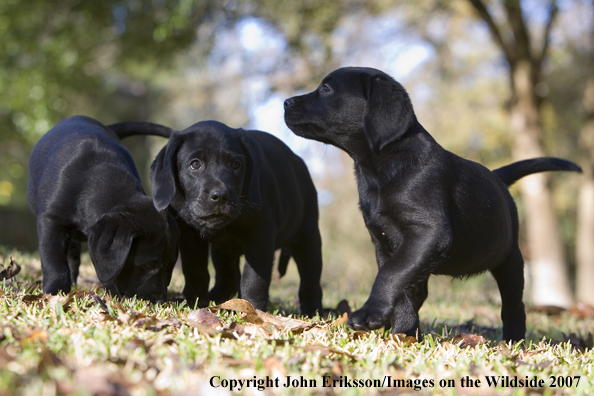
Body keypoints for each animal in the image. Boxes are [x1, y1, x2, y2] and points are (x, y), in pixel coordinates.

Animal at [26, 115, 178, 304]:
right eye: (150, 265)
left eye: (171, 266)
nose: (160, 301)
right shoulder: (51, 222)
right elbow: (55, 263)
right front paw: (54, 292)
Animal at [150, 120, 322, 316]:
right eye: (195, 164)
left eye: (235, 164)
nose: (220, 196)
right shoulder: (189, 234)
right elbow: (195, 270)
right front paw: (195, 301)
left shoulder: (262, 236)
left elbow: (253, 279)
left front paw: (253, 308)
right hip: (223, 248)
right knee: (228, 278)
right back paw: (218, 300)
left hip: (307, 237)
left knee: (311, 280)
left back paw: (313, 310)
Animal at [282, 66, 580, 342]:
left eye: (326, 89)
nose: (285, 102)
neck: (380, 167)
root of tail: (498, 177)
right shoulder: (385, 242)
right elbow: (399, 284)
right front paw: (403, 333)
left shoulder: (428, 232)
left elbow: (390, 275)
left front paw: (371, 316)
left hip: (509, 260)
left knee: (513, 306)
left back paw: (513, 341)